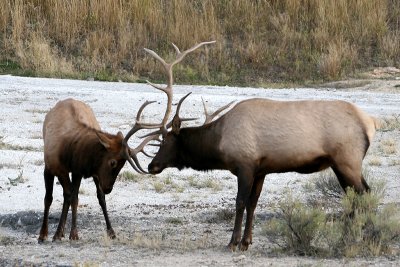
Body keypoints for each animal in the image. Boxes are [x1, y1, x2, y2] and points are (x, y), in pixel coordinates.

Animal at [37, 99, 156, 243]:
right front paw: (43, 234)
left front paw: (73, 234)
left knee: (96, 197)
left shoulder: (77, 171)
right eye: (112, 162)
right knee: (68, 195)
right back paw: (59, 233)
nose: (108, 189)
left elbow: (74, 198)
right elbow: (48, 199)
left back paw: (108, 231)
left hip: (93, 175)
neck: (70, 152)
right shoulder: (51, 167)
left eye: (123, 165)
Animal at [142, 41, 380, 251]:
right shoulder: (260, 170)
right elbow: (252, 203)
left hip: (347, 160)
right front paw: (246, 241)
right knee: (359, 196)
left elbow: (239, 202)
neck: (219, 143)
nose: (151, 166)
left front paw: (233, 242)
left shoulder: (245, 165)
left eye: (164, 141)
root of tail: (370, 123)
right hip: (341, 164)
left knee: (364, 194)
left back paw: (366, 236)